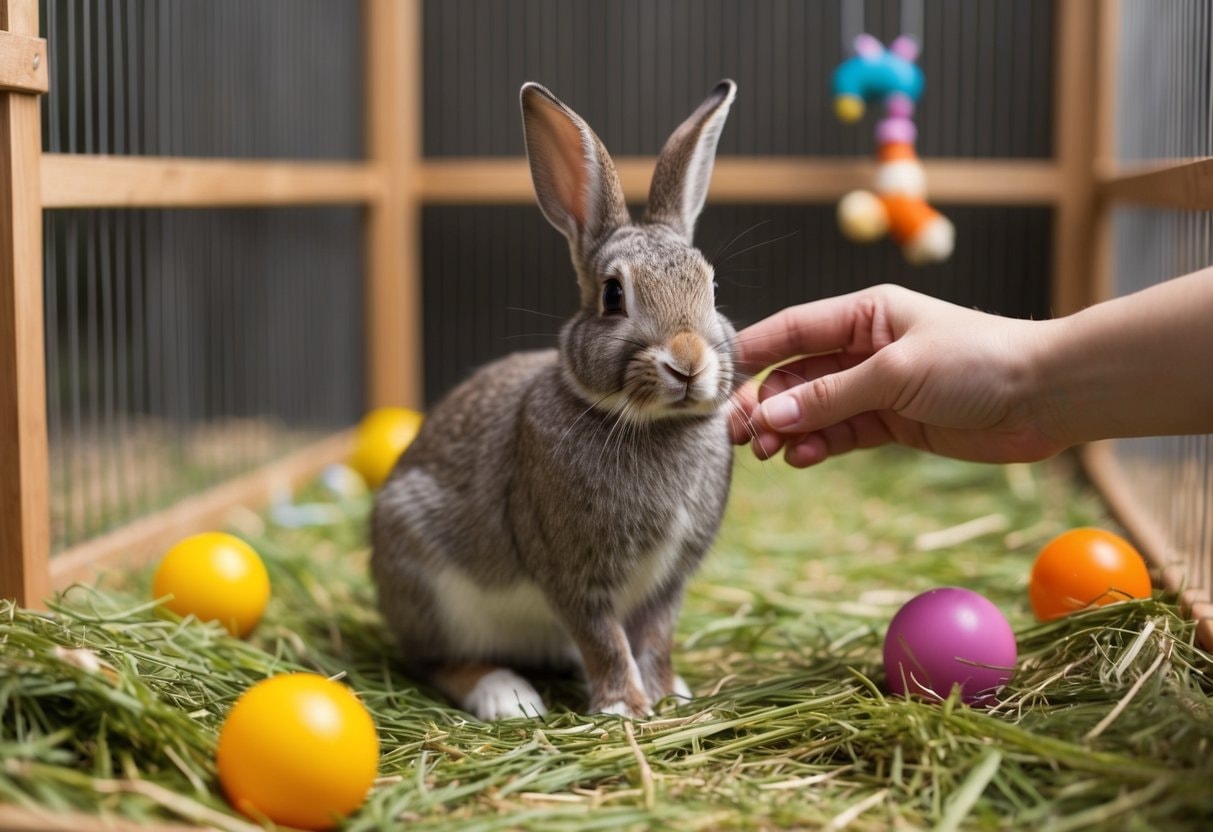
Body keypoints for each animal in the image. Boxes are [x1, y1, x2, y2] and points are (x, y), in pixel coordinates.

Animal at [371, 78, 737, 717]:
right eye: (614, 295)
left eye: (712, 288)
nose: (688, 362)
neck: (652, 423)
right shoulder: (573, 574)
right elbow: (604, 637)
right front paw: (623, 707)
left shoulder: (668, 582)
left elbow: (655, 637)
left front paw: (669, 695)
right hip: (429, 584)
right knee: (438, 662)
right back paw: (506, 695)